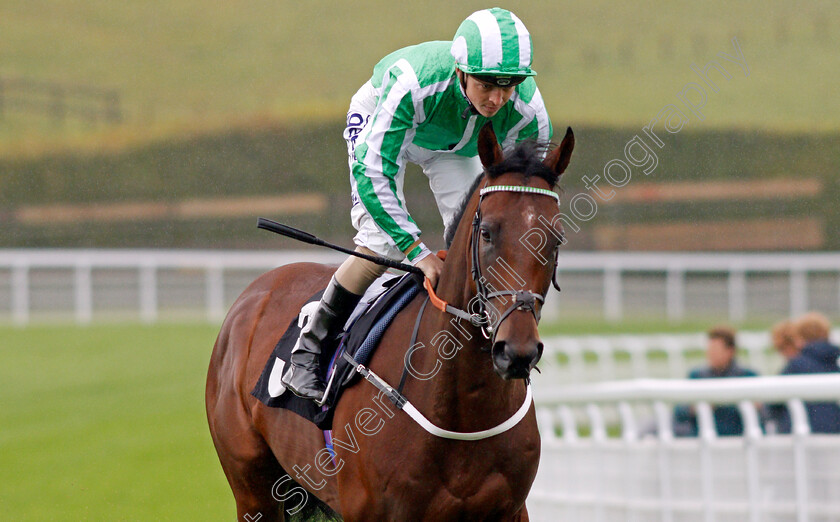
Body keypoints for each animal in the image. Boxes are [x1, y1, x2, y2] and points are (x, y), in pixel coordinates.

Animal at [205, 120, 572, 516]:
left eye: (555, 239)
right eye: (487, 232)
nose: (517, 351)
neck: (463, 407)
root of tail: (255, 291)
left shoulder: (511, 510)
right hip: (252, 489)